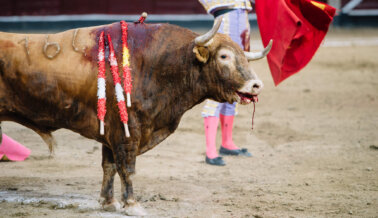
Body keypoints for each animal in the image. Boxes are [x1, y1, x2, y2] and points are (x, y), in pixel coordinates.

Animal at [0, 17, 272, 215]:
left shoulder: (110, 132)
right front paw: (132, 205)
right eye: (224, 56)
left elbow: (109, 166)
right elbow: (127, 168)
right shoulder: (126, 130)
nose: (256, 85)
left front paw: (108, 203)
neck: (160, 64)